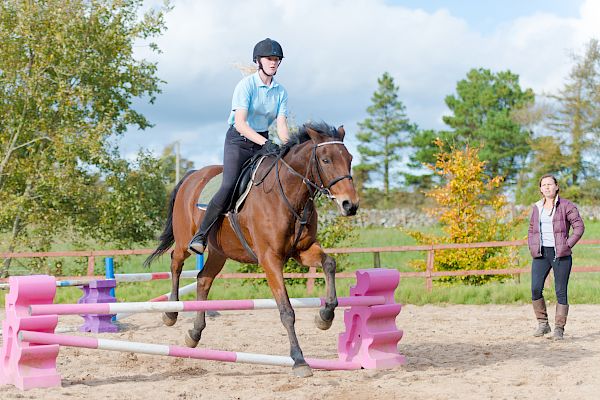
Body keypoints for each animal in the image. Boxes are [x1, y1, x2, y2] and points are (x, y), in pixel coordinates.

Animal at [144, 122, 360, 378]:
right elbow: (287, 311)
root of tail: (191, 176)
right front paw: (299, 360)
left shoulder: (303, 250)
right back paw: (171, 312)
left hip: (219, 252)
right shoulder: (270, 259)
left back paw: (194, 334)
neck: (289, 194)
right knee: (175, 263)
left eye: (350, 158)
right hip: (184, 241)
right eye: (326, 160)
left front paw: (324, 317)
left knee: (203, 280)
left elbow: (329, 264)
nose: (350, 205)